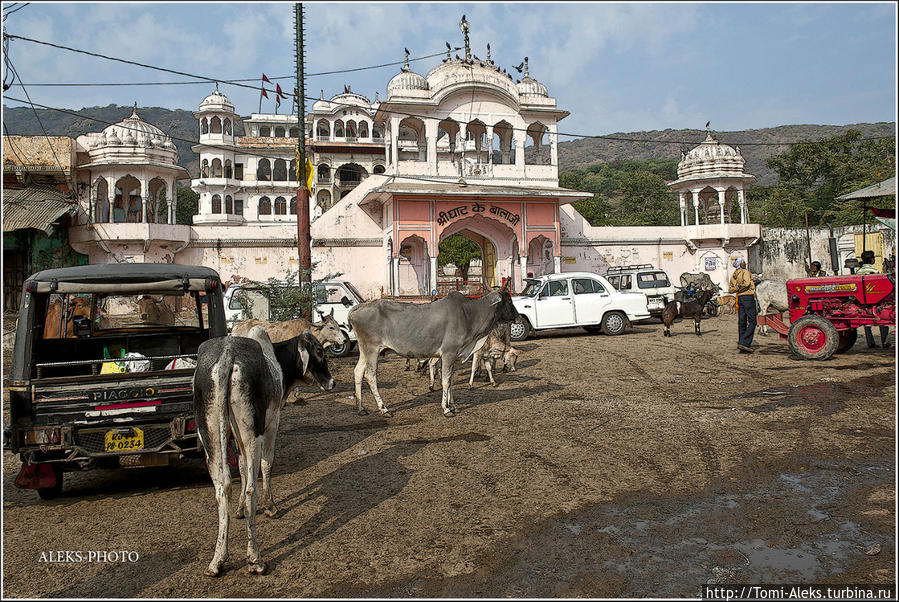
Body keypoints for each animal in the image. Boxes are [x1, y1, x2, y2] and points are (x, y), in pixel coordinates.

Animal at [195, 328, 336, 576]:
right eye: (319, 351)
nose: (333, 382)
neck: (277, 361)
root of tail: (226, 356)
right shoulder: (272, 424)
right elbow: (266, 464)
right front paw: (271, 506)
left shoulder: (235, 439)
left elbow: (242, 469)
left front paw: (239, 509)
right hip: (253, 433)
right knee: (252, 489)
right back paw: (255, 559)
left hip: (210, 435)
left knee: (222, 488)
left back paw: (218, 559)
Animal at [352, 282, 520, 414]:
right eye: (509, 299)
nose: (518, 317)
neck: (468, 314)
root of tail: (359, 307)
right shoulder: (448, 354)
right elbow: (445, 381)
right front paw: (446, 408)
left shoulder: (455, 356)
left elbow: (451, 381)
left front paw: (453, 405)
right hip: (372, 350)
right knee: (370, 376)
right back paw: (384, 408)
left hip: (365, 351)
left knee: (358, 372)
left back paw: (361, 408)